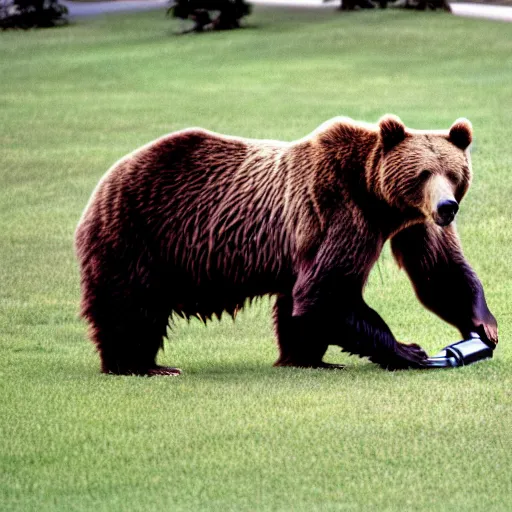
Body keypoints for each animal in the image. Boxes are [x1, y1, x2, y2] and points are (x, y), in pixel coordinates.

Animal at [75, 115, 496, 376]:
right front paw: (410, 350)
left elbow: (439, 272)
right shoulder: (340, 212)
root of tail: (107, 178)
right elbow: (326, 293)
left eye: (453, 173)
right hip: (139, 234)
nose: (447, 206)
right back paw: (142, 365)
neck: (378, 201)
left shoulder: (413, 223)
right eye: (422, 173)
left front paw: (484, 327)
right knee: (130, 307)